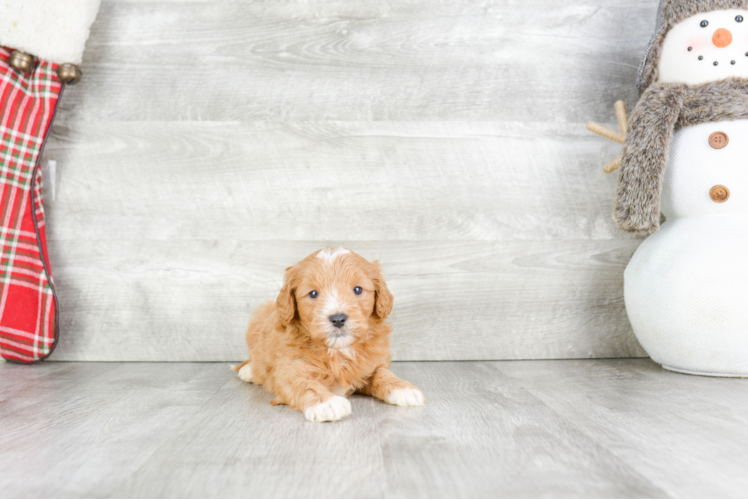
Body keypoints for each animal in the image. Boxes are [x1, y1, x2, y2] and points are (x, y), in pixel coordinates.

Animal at [234, 246, 424, 422]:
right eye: (313, 293)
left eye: (357, 290)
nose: (338, 319)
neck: (338, 350)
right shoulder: (289, 371)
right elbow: (305, 384)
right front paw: (326, 403)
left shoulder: (372, 364)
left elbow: (383, 373)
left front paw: (403, 387)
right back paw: (249, 370)